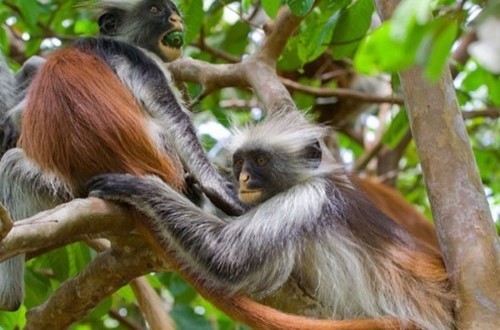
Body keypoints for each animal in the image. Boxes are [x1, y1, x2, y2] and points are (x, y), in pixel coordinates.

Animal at [88, 111, 456, 330]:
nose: (243, 179)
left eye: (261, 161)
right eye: (240, 162)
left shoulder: (304, 199)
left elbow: (227, 257)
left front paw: (139, 186)